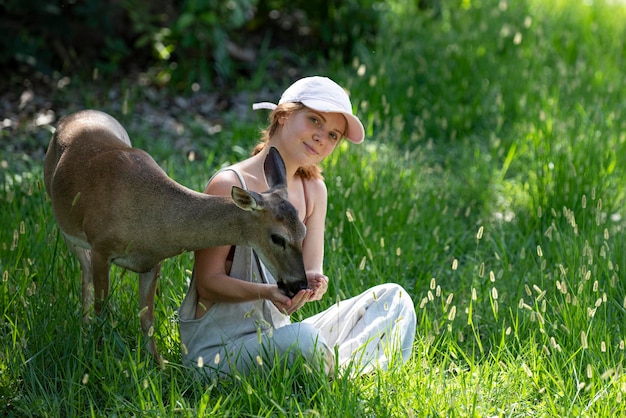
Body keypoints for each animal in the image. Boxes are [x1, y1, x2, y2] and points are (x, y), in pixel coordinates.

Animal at [43, 110, 308, 362]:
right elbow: (103, 309)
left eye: (304, 231)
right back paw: (84, 325)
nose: (300, 284)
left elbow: (147, 320)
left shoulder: (152, 262)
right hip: (66, 226)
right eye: (278, 238)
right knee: (85, 270)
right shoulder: (101, 246)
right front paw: (98, 352)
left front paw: (158, 364)